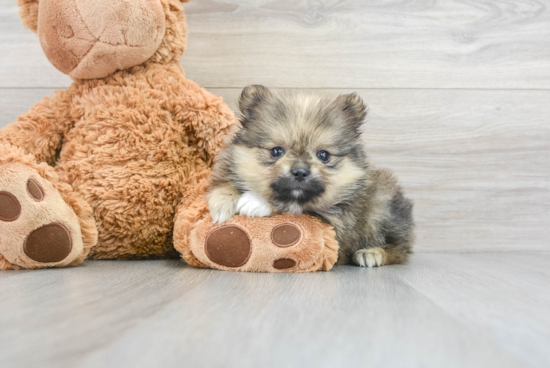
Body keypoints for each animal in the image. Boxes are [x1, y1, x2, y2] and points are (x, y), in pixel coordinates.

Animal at [207, 85, 414, 266]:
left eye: (323, 155)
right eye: (276, 151)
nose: (300, 172)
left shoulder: (330, 226)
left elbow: (289, 208)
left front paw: (257, 202)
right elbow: (223, 185)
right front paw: (222, 203)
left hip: (383, 205)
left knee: (401, 249)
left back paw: (372, 253)